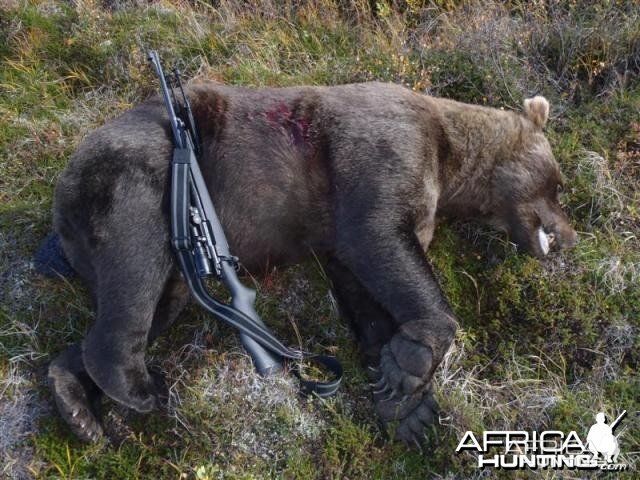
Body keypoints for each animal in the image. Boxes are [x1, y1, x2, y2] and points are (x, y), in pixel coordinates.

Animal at [48, 82, 576, 446]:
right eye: (558, 185)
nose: (570, 237)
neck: (451, 160)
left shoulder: (350, 228)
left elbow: (364, 289)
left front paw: (405, 400)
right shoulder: (386, 148)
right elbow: (380, 237)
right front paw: (417, 361)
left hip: (158, 254)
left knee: (158, 301)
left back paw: (76, 402)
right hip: (134, 178)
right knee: (135, 268)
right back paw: (139, 387)